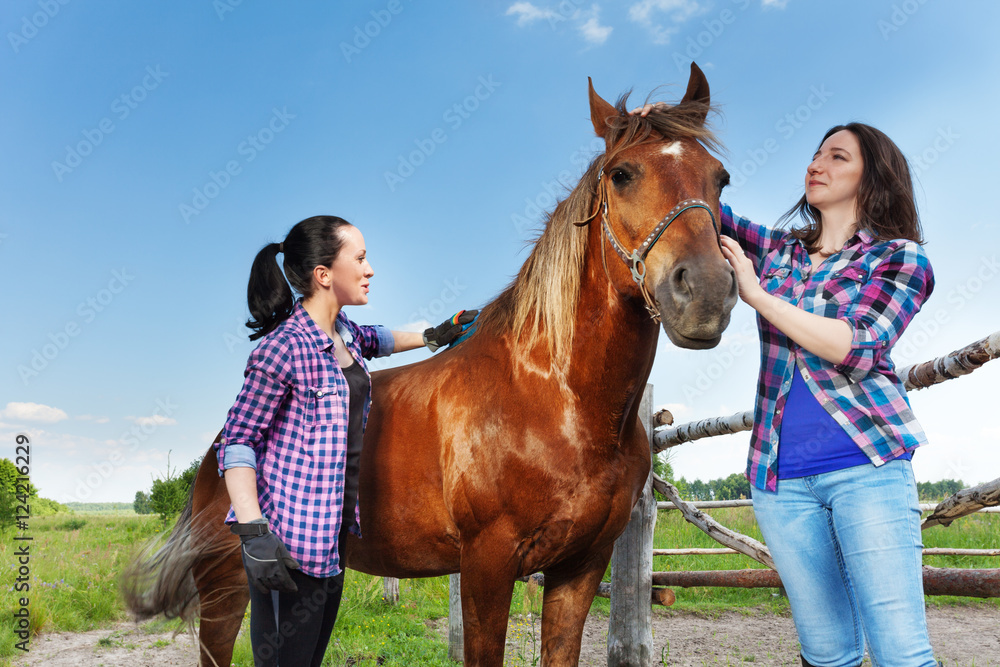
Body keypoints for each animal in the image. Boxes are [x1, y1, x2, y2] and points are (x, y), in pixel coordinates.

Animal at [123, 64, 736, 667]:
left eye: (720, 179)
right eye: (622, 174)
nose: (706, 292)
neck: (557, 399)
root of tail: (219, 450)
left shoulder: (580, 567)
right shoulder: (487, 564)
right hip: (227, 588)